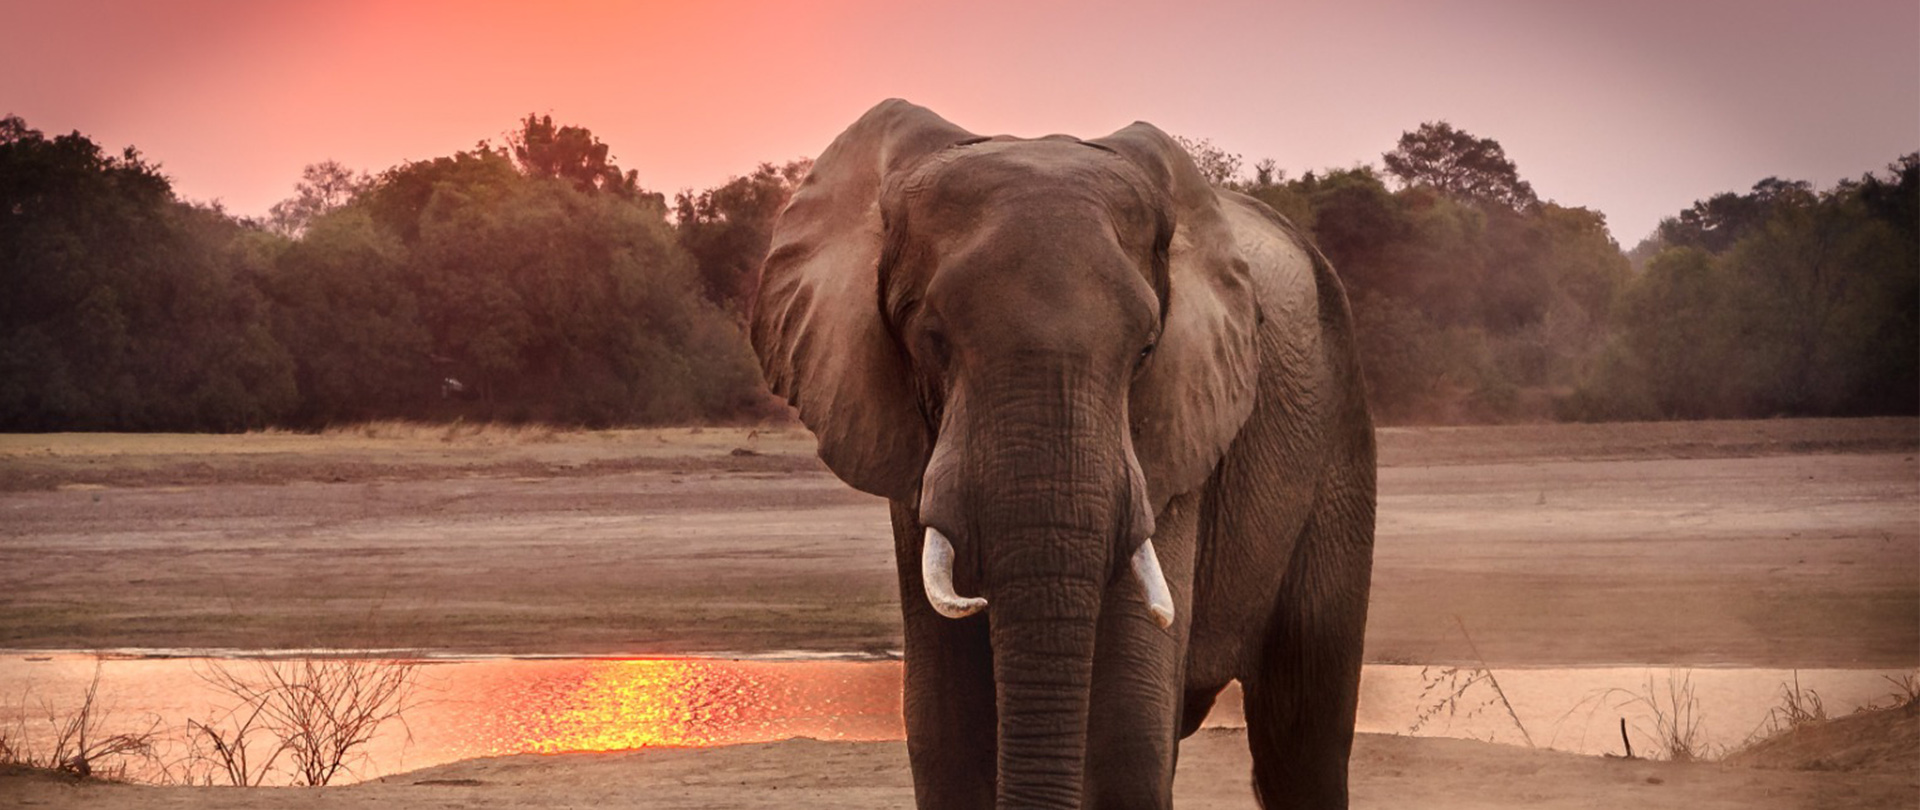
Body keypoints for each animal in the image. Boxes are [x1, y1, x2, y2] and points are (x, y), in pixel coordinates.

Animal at [752, 97, 1382, 806]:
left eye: (1146, 349)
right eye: (931, 338)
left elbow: (1128, 722)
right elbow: (945, 722)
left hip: (1340, 434)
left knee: (1303, 733)